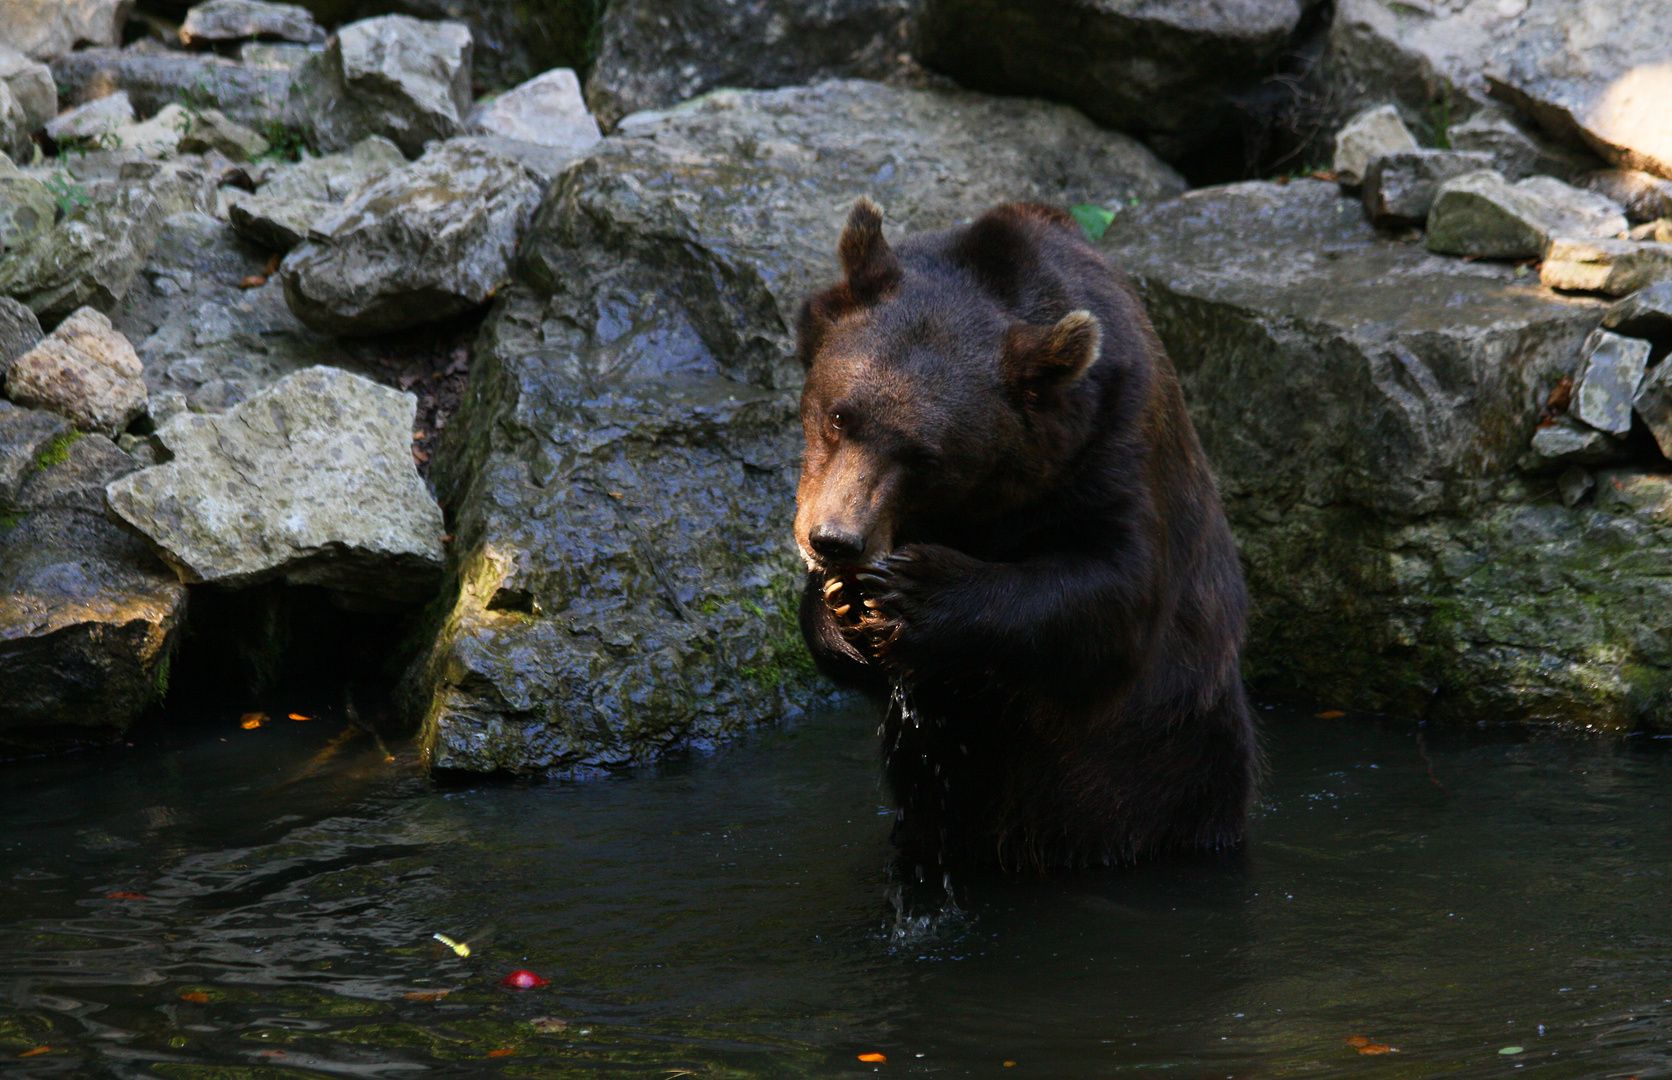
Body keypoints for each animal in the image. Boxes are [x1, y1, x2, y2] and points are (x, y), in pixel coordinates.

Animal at [792, 198, 1257, 876]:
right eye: (836, 415)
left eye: (924, 456)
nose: (834, 539)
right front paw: (842, 610)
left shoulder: (1113, 447)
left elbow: (1111, 588)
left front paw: (911, 592)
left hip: (1172, 777)